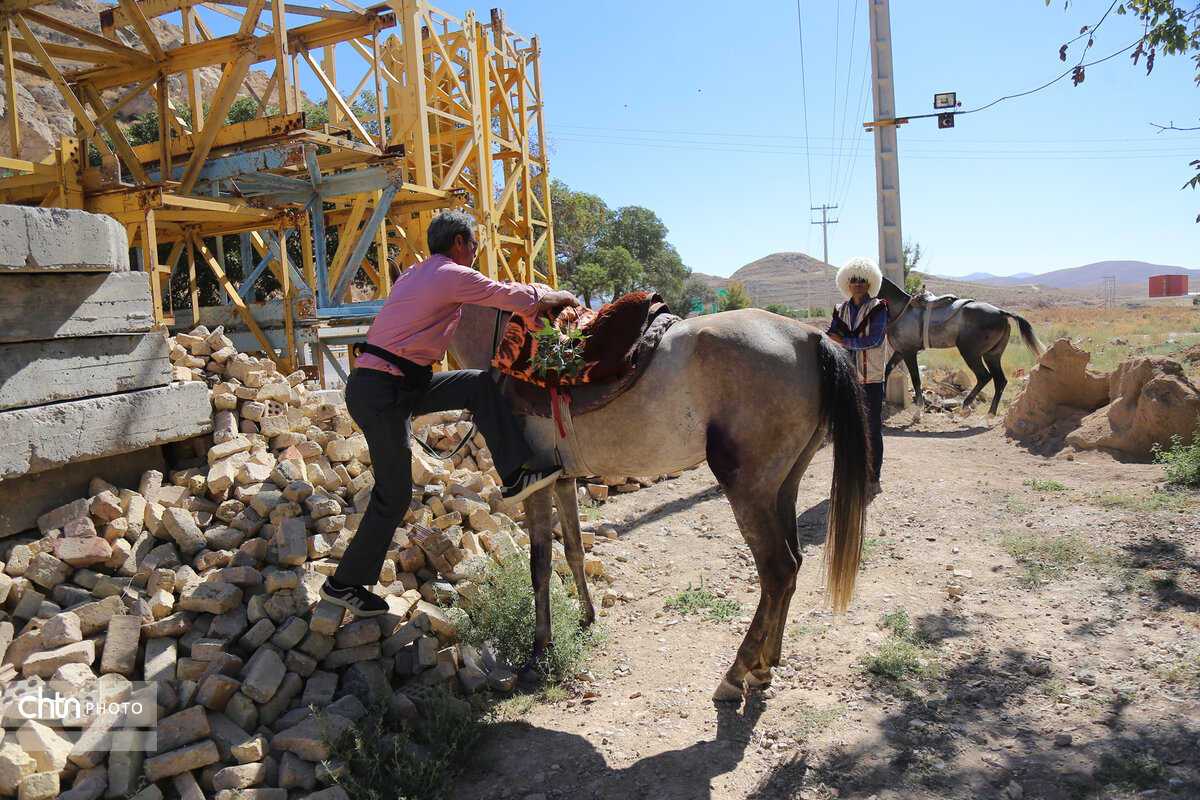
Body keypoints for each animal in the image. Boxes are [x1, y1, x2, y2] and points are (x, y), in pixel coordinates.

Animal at [451, 303, 873, 705]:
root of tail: (811, 337)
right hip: (784, 487)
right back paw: (764, 666)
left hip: (748, 489)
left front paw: (538, 653)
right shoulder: (562, 479)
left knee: (778, 571)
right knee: (794, 565)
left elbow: (539, 565)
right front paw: (587, 619)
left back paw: (736, 673)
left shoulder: (534, 485)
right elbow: (572, 550)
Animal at [878, 277, 1046, 419]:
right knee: (1000, 380)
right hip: (992, 355)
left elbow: (916, 380)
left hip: (970, 354)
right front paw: (883, 399)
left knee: (984, 377)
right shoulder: (900, 352)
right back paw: (988, 415)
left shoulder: (909, 353)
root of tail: (1001, 312)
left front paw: (917, 412)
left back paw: (966, 407)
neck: (900, 309)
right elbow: (887, 370)